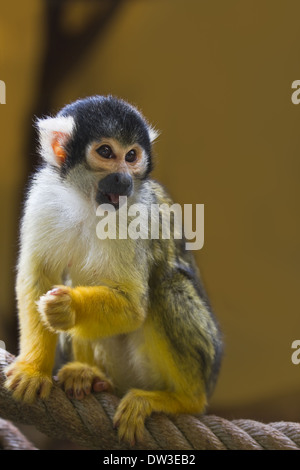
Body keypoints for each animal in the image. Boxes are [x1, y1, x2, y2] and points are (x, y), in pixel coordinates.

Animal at [3, 95, 221, 444]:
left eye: (131, 156)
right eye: (106, 152)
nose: (123, 177)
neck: (87, 202)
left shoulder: (136, 211)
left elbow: (133, 306)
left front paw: (68, 306)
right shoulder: (44, 197)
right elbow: (38, 278)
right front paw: (34, 369)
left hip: (195, 365)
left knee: (167, 285)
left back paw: (180, 399)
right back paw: (90, 376)